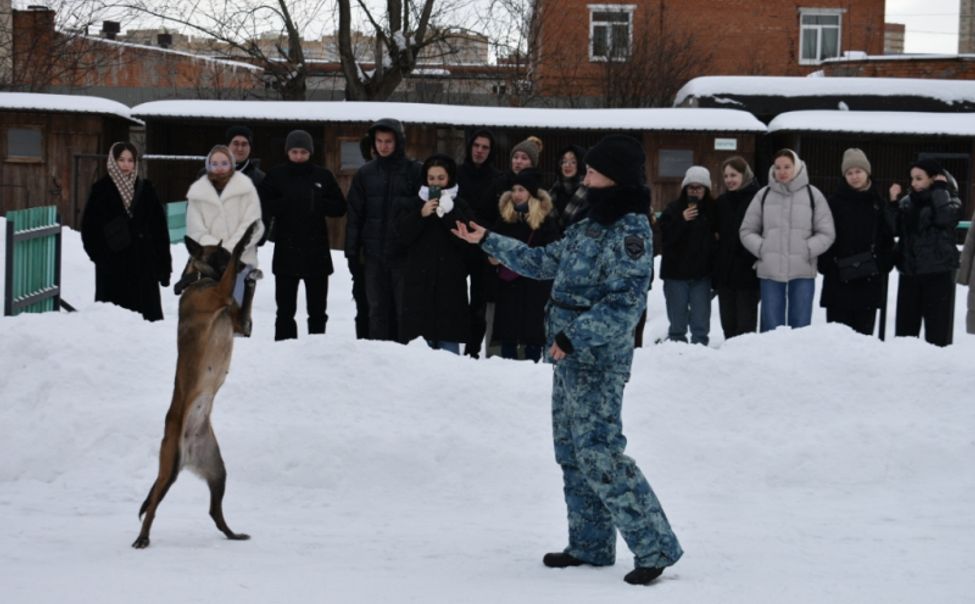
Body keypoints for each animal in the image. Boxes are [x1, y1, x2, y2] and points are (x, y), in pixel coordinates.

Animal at [135, 221, 262, 548]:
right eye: (220, 255)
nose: (243, 266)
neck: (200, 280)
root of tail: (188, 453)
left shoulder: (242, 325)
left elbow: (246, 311)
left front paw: (252, 276)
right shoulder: (220, 292)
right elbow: (232, 267)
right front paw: (247, 236)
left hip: (217, 471)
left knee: (214, 512)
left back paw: (233, 534)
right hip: (169, 467)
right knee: (153, 505)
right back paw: (142, 538)